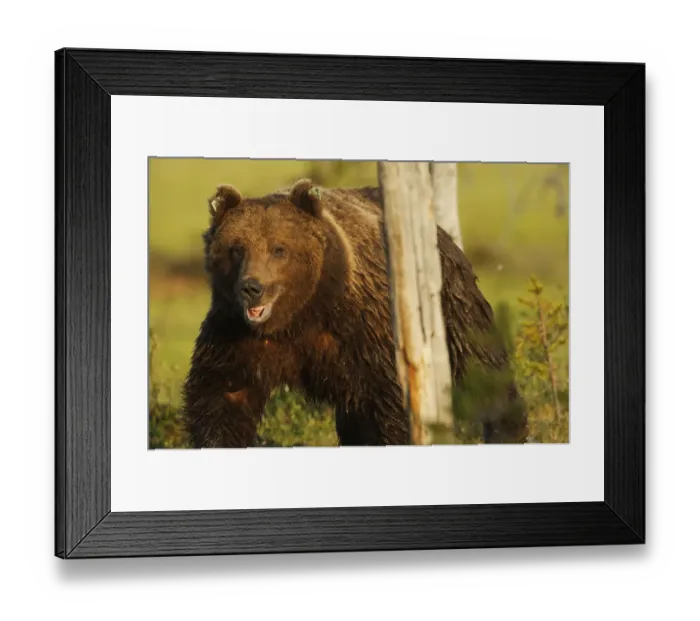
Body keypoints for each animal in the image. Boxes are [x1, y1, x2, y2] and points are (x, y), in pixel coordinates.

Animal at [182, 178, 528, 447]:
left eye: (279, 249)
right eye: (237, 248)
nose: (251, 287)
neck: (300, 315)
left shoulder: (363, 330)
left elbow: (390, 401)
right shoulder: (236, 335)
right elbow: (223, 396)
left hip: (450, 300)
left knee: (482, 366)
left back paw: (507, 429)